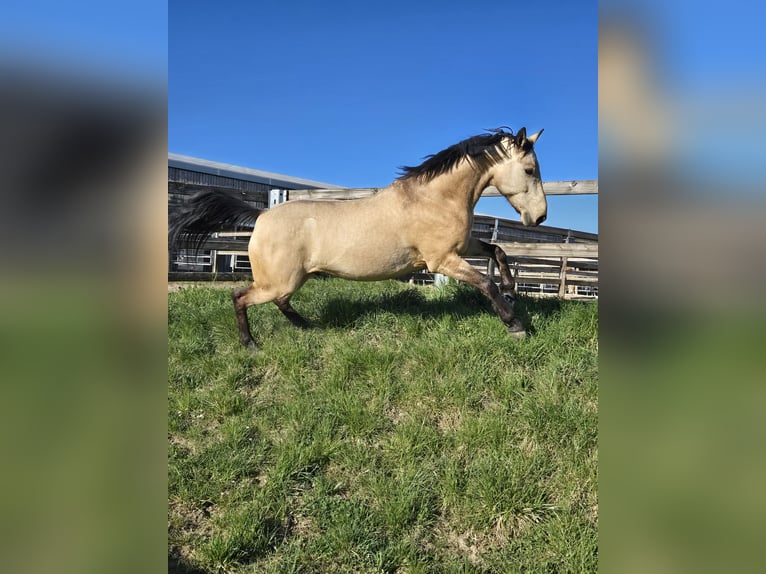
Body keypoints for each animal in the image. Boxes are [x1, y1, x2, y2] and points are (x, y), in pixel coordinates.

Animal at [170, 127, 547, 348]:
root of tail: (261, 216)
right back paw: (250, 344)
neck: (432, 198)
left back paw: (307, 326)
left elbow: (497, 250)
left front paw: (512, 290)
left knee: (280, 302)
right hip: (277, 281)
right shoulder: (441, 260)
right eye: (530, 170)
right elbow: (485, 283)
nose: (540, 217)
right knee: (240, 296)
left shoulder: (461, 247)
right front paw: (515, 324)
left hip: (292, 279)